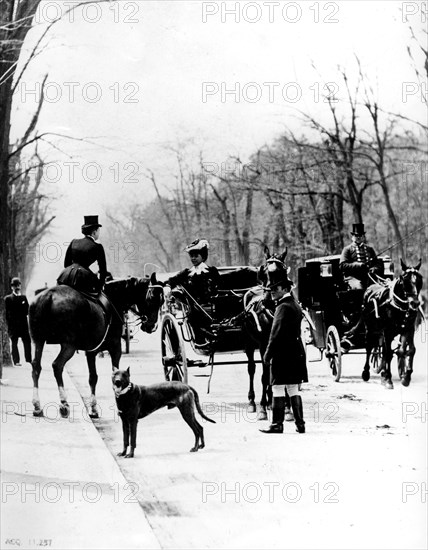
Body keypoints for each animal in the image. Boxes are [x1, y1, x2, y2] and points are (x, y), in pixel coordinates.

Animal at [27, 276, 163, 418]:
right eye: (152, 298)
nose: (152, 326)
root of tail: (48, 295)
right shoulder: (116, 348)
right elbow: (115, 373)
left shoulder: (91, 352)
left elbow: (93, 378)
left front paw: (93, 409)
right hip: (69, 346)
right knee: (57, 366)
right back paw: (64, 403)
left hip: (38, 341)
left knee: (36, 366)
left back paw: (37, 405)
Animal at [362, 260, 424, 390]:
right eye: (405, 280)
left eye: (419, 279)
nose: (415, 303)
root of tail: (370, 287)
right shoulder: (387, 331)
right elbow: (389, 353)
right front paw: (389, 380)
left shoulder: (407, 329)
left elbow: (407, 351)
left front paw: (406, 377)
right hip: (370, 329)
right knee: (369, 347)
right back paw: (366, 372)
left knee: (383, 350)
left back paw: (383, 374)